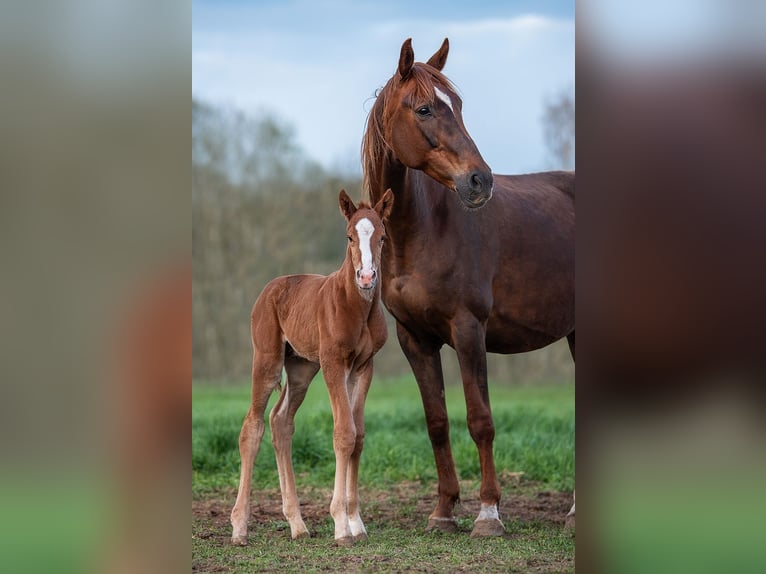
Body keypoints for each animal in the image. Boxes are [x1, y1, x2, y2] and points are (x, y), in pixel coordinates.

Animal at [231, 190, 392, 548]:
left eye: (382, 237)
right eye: (349, 236)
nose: (366, 278)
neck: (356, 306)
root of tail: (271, 287)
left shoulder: (364, 366)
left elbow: (359, 435)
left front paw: (356, 522)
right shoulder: (333, 363)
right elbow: (344, 433)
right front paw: (341, 526)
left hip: (302, 368)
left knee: (280, 422)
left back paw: (297, 524)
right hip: (268, 360)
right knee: (252, 426)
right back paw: (239, 527)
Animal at [366, 38, 576, 536]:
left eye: (458, 106)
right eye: (424, 108)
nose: (480, 181)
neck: (421, 231)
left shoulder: (468, 330)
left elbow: (480, 420)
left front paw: (488, 514)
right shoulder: (414, 338)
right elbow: (437, 422)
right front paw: (443, 511)